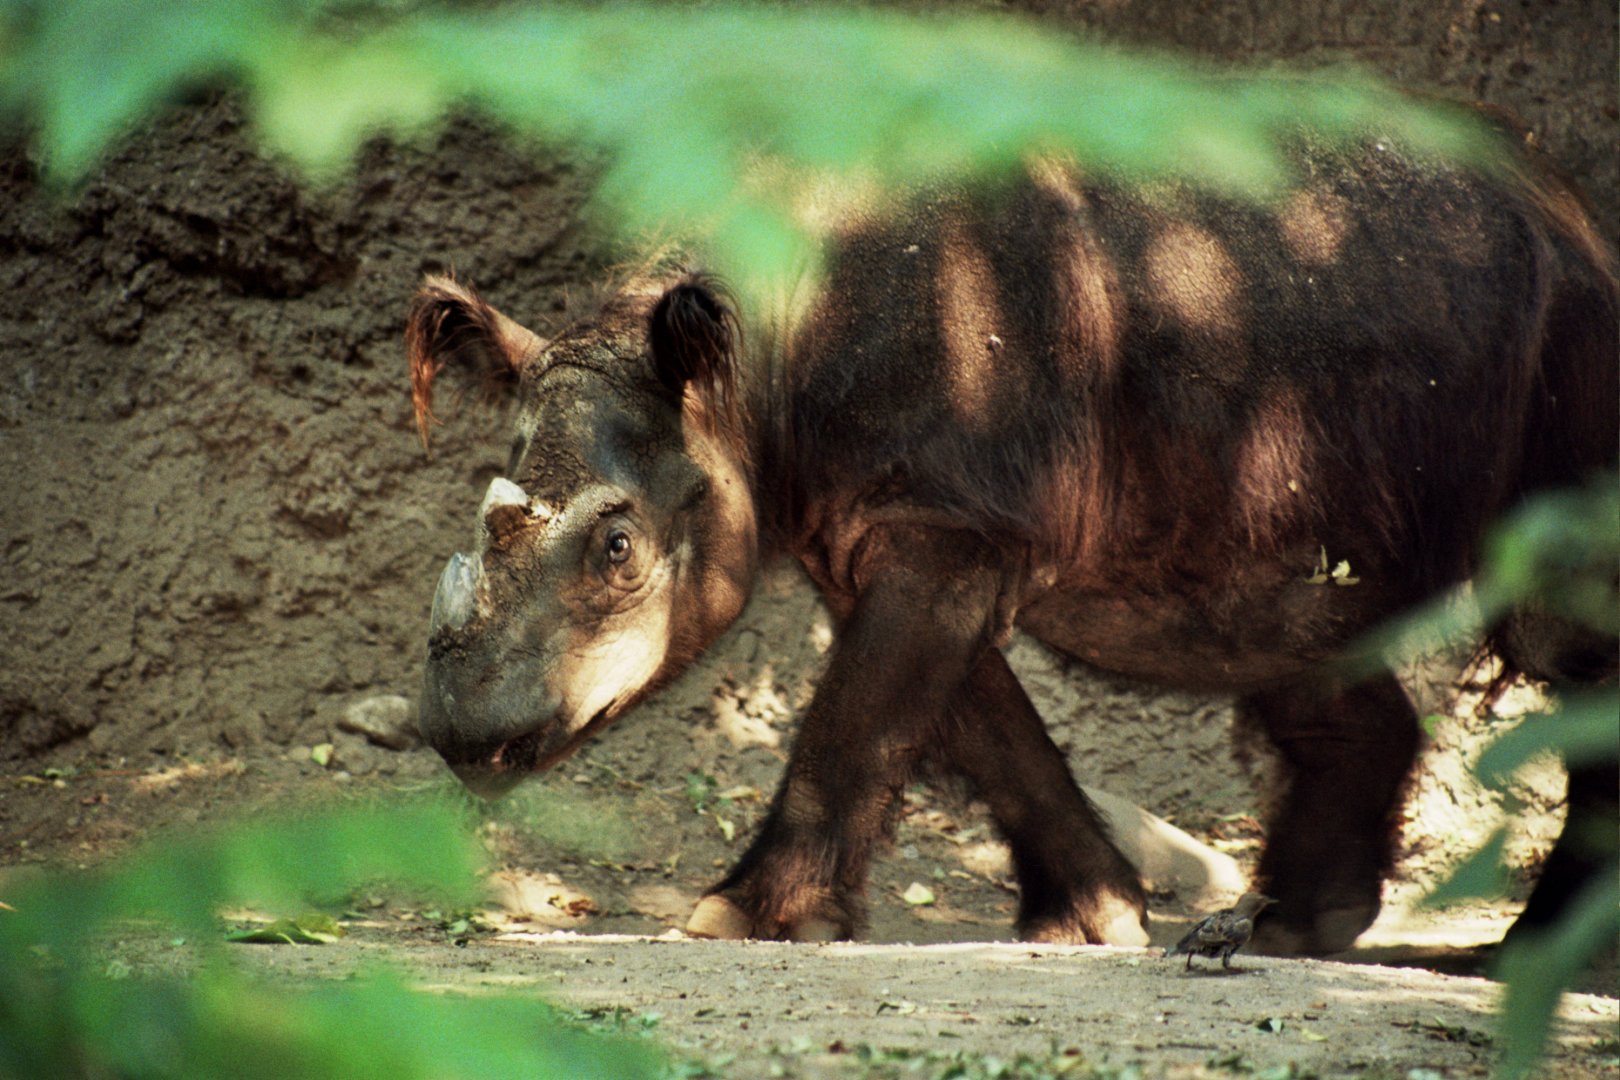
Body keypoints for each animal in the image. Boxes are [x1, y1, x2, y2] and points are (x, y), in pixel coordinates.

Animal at [405, 128, 1616, 953]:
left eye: (618, 550)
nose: (466, 739)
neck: (744, 366)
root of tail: (1575, 211)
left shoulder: (945, 520)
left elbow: (856, 720)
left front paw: (729, 921)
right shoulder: (902, 522)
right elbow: (977, 723)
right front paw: (1097, 922)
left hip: (1573, 331)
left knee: (1561, 627)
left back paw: (1527, 963)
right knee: (1286, 627)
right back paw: (1286, 935)